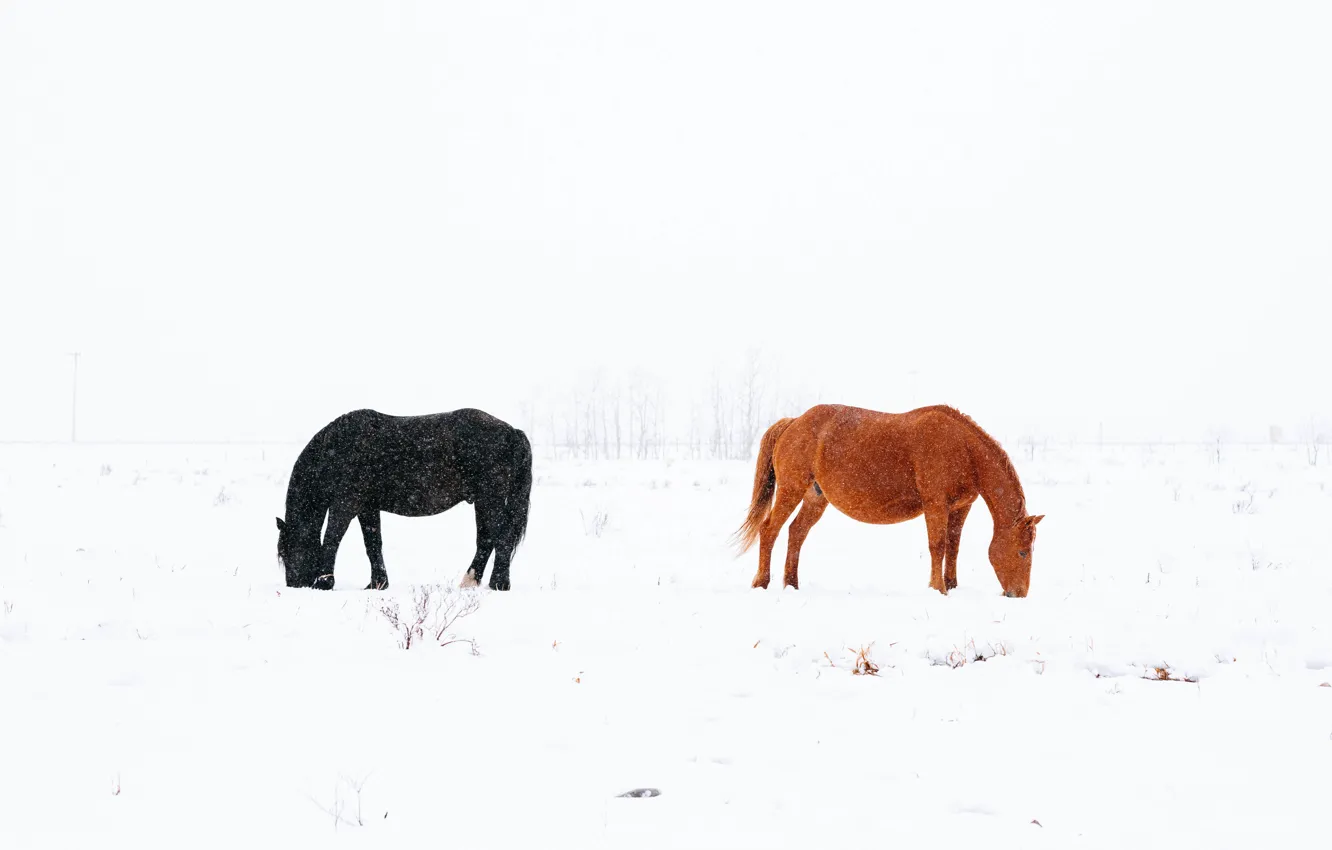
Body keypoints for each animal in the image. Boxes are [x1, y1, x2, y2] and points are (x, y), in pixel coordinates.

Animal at [276, 408, 532, 591]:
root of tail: (513, 432)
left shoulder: (346, 503)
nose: (294, 585)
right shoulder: (368, 507)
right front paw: (377, 584)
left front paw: (324, 582)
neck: (339, 449)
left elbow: (332, 538)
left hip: (490, 498)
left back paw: (499, 584)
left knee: (502, 538)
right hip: (482, 500)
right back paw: (470, 582)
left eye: (287, 551)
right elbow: (373, 543)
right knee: (486, 540)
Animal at [733, 404, 1043, 597]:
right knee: (769, 530)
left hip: (815, 499)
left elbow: (953, 548)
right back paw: (762, 583)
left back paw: (792, 585)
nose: (1018, 594)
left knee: (796, 533)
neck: (964, 450)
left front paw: (952, 586)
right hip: (791, 489)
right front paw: (938, 589)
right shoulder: (935, 504)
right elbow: (938, 545)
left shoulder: (960, 507)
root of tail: (793, 422)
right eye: (1022, 552)